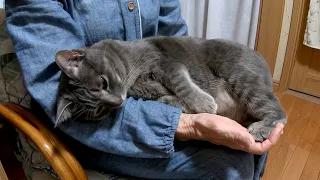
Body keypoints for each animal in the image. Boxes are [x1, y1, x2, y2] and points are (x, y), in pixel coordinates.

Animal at [54, 35, 288, 141]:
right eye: (99, 110)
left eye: (103, 82)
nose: (118, 101)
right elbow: (167, 97)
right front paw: (176, 102)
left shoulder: (166, 64)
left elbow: (182, 84)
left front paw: (204, 103)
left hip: (242, 79)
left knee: (279, 112)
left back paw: (260, 128)